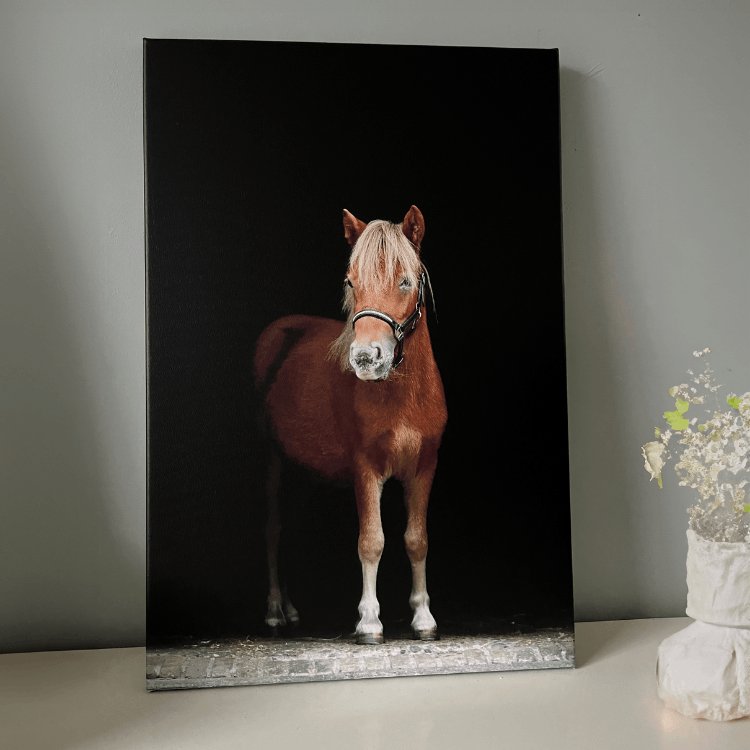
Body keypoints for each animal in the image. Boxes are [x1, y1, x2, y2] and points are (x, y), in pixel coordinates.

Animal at [253, 205, 447, 644]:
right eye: (350, 282)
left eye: (405, 280)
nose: (365, 358)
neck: (402, 396)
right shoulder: (366, 468)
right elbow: (372, 541)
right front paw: (369, 622)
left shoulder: (424, 467)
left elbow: (417, 540)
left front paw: (423, 617)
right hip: (272, 461)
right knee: (272, 529)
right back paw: (273, 611)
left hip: (304, 471)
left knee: (288, 528)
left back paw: (290, 608)